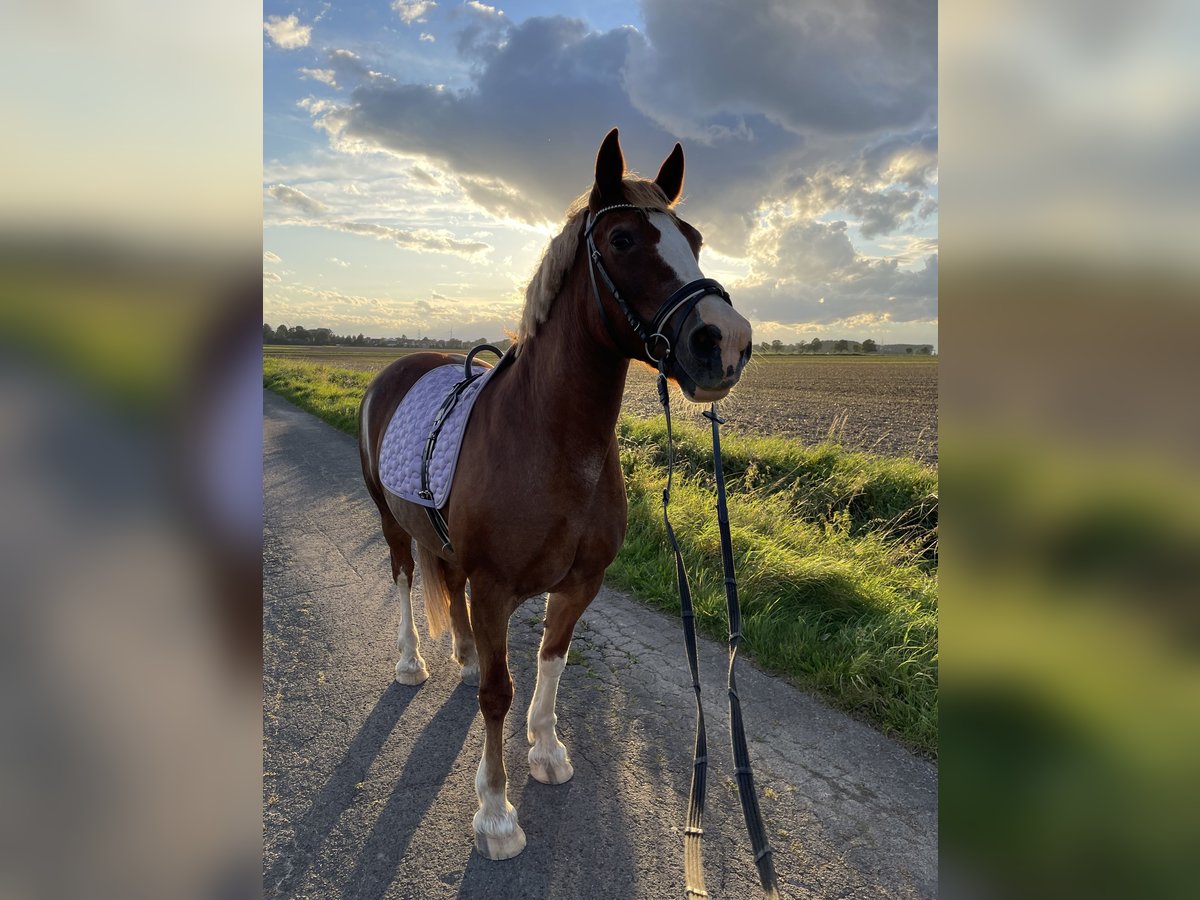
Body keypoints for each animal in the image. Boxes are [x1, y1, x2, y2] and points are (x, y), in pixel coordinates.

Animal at [355, 130, 748, 864]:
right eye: (622, 239)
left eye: (695, 237)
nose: (726, 342)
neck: (553, 444)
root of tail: (397, 367)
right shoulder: (497, 590)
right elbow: (498, 693)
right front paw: (495, 813)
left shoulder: (579, 585)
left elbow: (550, 665)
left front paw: (546, 752)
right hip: (392, 526)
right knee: (403, 579)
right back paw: (411, 663)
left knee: (446, 584)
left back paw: (458, 654)